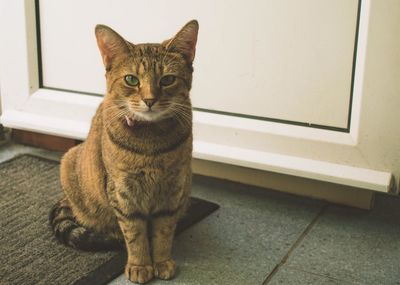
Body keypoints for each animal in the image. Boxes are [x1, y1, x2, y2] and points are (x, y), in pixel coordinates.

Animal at [49, 19, 199, 282]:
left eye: (167, 80)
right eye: (131, 80)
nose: (149, 100)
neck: (151, 145)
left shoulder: (172, 189)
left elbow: (163, 232)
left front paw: (161, 261)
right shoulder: (123, 192)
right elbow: (135, 234)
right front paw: (140, 265)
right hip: (69, 163)